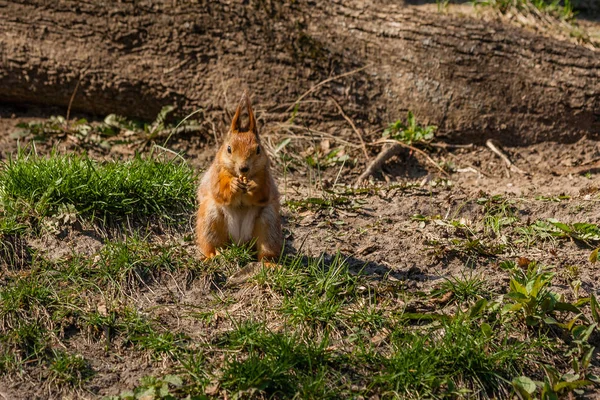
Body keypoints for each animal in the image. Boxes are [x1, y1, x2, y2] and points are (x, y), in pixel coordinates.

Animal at [196, 94, 282, 262]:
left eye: (258, 149)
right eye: (228, 149)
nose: (244, 168)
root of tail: (239, 243)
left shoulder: (265, 175)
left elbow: (264, 192)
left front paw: (254, 185)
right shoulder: (217, 173)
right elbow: (219, 191)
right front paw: (232, 185)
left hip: (269, 222)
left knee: (266, 248)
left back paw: (269, 263)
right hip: (210, 218)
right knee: (211, 243)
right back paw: (212, 255)